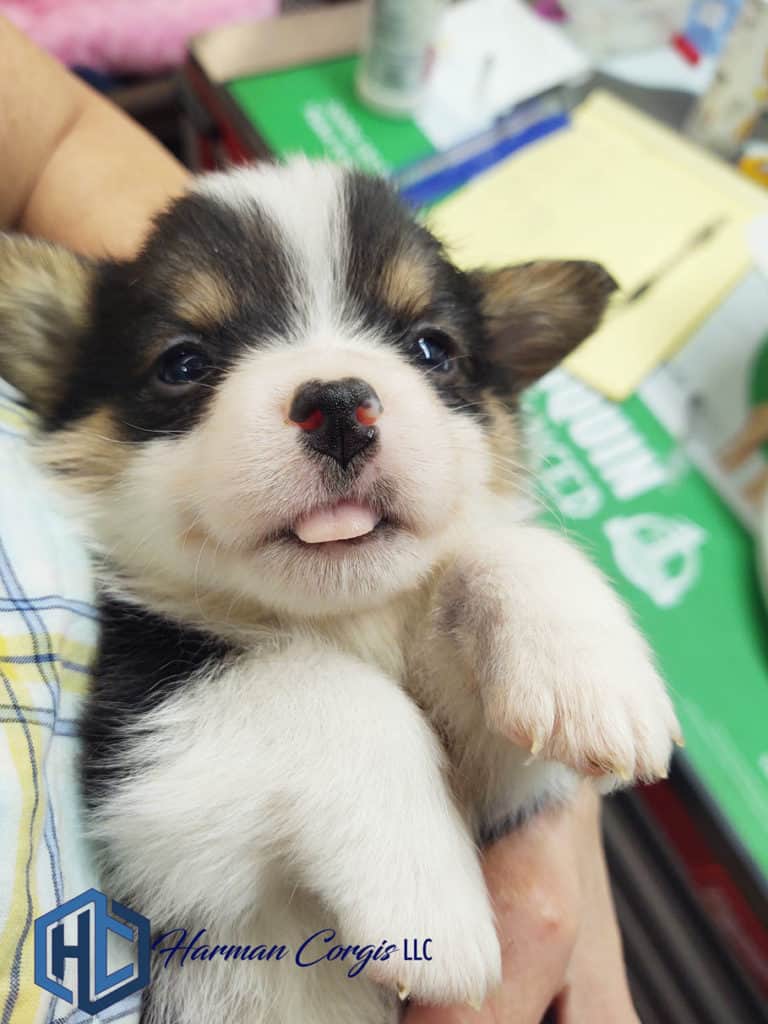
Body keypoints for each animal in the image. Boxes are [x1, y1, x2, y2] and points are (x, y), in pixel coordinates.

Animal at [0, 159, 684, 1024]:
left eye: (432, 348)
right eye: (183, 363)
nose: (336, 405)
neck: (343, 618)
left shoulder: (505, 791)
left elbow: (494, 551)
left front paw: (585, 672)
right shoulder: (137, 774)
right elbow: (325, 685)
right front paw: (430, 901)